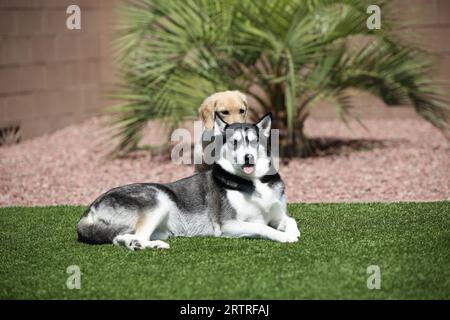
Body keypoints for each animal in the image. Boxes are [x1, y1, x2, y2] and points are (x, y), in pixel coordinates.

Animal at [76, 114, 302, 251]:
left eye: (254, 141)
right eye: (234, 142)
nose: (248, 158)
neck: (253, 181)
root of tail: (89, 210)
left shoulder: (278, 215)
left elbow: (290, 220)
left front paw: (292, 232)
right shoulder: (228, 225)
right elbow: (262, 227)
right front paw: (284, 237)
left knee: (120, 238)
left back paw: (138, 244)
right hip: (158, 200)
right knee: (138, 236)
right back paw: (147, 245)